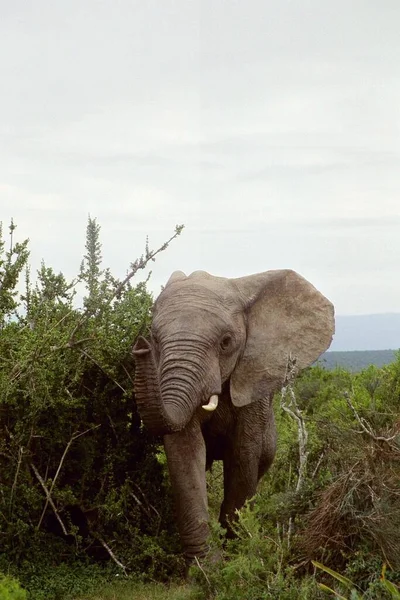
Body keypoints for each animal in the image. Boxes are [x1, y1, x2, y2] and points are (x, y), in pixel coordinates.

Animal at [134, 270, 334, 564]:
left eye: (226, 342)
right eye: (156, 339)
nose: (140, 347)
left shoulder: (253, 380)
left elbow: (243, 455)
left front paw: (235, 553)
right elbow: (185, 453)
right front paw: (206, 566)